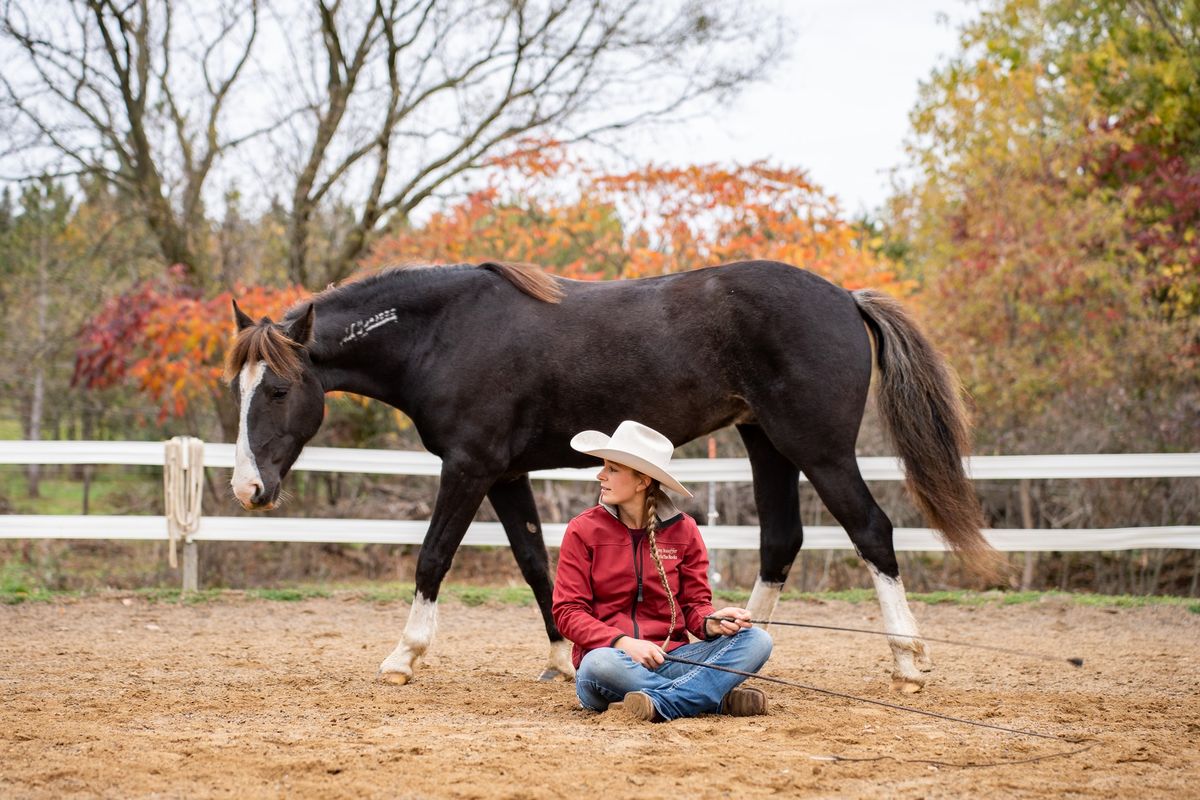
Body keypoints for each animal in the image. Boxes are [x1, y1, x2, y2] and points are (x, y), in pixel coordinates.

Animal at [226, 260, 993, 690]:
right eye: (236, 388)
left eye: (277, 391)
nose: (247, 489)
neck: (446, 332)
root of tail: (844, 295)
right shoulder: (504, 475)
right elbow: (539, 565)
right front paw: (562, 659)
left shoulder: (469, 467)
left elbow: (434, 556)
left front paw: (403, 657)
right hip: (766, 441)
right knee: (782, 541)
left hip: (817, 448)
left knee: (872, 530)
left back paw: (906, 663)